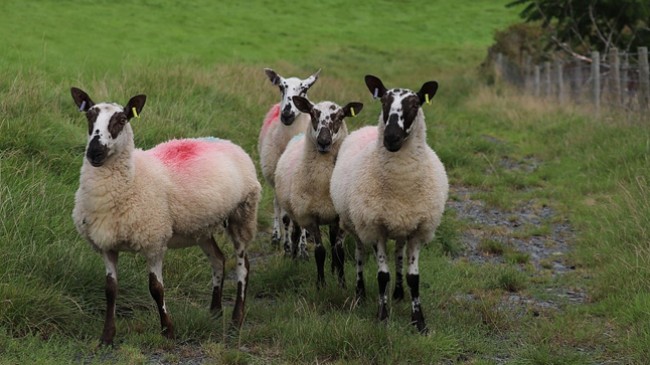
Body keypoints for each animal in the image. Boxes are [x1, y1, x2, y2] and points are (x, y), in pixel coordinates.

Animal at [70, 86, 260, 346]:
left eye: (121, 120)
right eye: (89, 116)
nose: (94, 152)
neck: (132, 180)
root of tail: (226, 141)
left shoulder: (154, 241)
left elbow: (156, 288)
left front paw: (168, 330)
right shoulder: (106, 244)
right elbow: (110, 289)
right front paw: (107, 336)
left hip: (243, 213)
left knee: (243, 265)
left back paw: (236, 320)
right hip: (201, 227)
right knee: (218, 259)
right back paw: (214, 311)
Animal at [256, 69, 320, 256]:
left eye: (304, 89)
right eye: (280, 87)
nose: (286, 114)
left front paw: (302, 250)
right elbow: (285, 217)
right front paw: (287, 247)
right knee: (277, 206)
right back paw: (277, 237)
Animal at [274, 95, 362, 286]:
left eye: (340, 117)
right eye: (313, 114)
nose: (323, 142)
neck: (323, 185)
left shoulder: (340, 217)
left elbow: (339, 251)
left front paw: (341, 283)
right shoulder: (309, 217)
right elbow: (320, 252)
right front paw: (321, 285)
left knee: (332, 240)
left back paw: (334, 270)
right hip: (295, 212)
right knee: (295, 234)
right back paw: (294, 262)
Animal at [330, 75, 446, 332]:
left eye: (415, 104)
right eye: (383, 102)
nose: (391, 138)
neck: (401, 184)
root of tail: (366, 129)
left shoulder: (418, 230)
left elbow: (414, 277)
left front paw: (419, 322)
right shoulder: (375, 228)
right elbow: (382, 275)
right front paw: (383, 317)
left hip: (401, 225)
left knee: (399, 255)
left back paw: (399, 293)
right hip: (356, 224)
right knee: (360, 255)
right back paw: (360, 293)